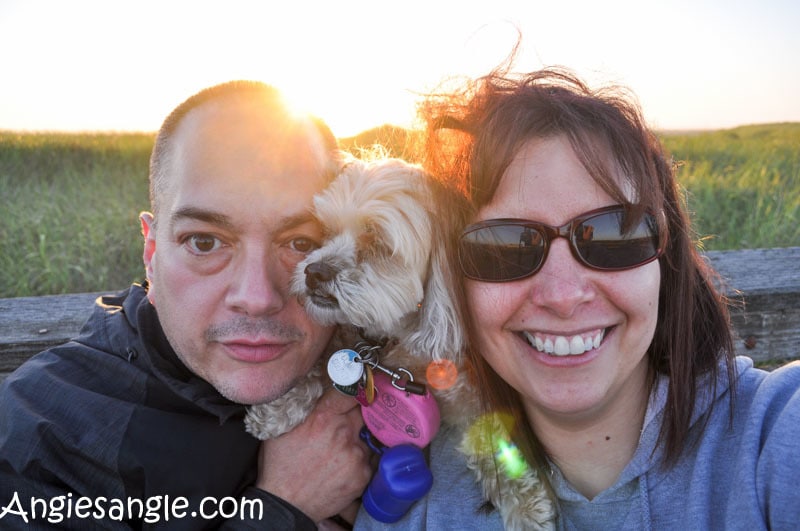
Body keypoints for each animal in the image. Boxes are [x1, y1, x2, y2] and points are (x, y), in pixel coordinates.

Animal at [247, 156, 552, 528]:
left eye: (378, 243)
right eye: (325, 233)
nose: (314, 272)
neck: (394, 343)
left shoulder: (465, 394)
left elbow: (490, 437)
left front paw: (525, 504)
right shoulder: (350, 341)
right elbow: (325, 364)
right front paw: (277, 409)